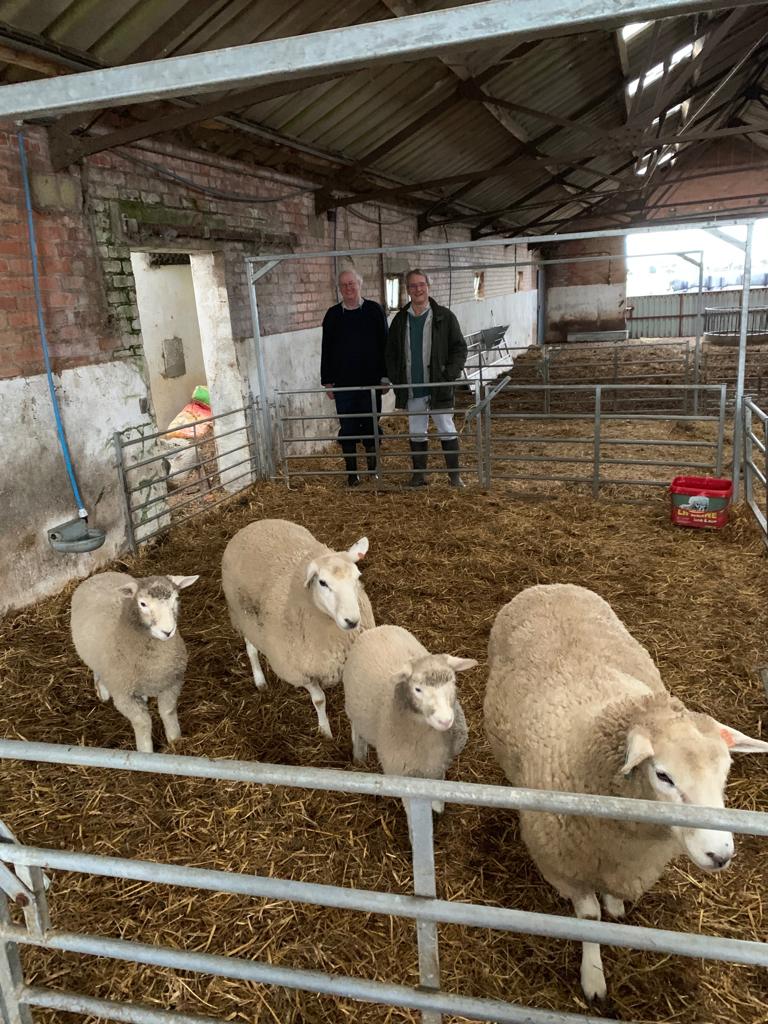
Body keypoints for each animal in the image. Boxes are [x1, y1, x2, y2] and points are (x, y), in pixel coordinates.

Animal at [70, 572, 198, 753]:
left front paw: (175, 741)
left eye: (176, 598)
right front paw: (146, 752)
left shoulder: (172, 683)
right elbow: (143, 722)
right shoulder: (124, 696)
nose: (168, 631)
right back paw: (102, 691)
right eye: (143, 604)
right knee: (96, 670)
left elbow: (168, 711)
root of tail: (101, 574)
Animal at [221, 518, 373, 738]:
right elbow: (319, 699)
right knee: (251, 649)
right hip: (243, 616)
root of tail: (255, 523)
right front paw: (325, 732)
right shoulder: (301, 672)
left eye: (357, 577)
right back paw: (260, 680)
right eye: (322, 582)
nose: (352, 621)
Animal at [343, 624, 476, 835]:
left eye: (453, 682)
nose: (445, 720)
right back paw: (359, 754)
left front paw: (438, 808)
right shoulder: (402, 777)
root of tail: (378, 629)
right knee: (357, 728)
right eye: (418, 689)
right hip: (352, 707)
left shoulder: (438, 765)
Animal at [483, 583, 768, 1003]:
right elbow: (589, 920)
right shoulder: (567, 867)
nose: (720, 854)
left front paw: (615, 906)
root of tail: (551, 584)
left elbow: (614, 902)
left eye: (725, 771)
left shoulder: (630, 865)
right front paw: (593, 977)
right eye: (664, 775)